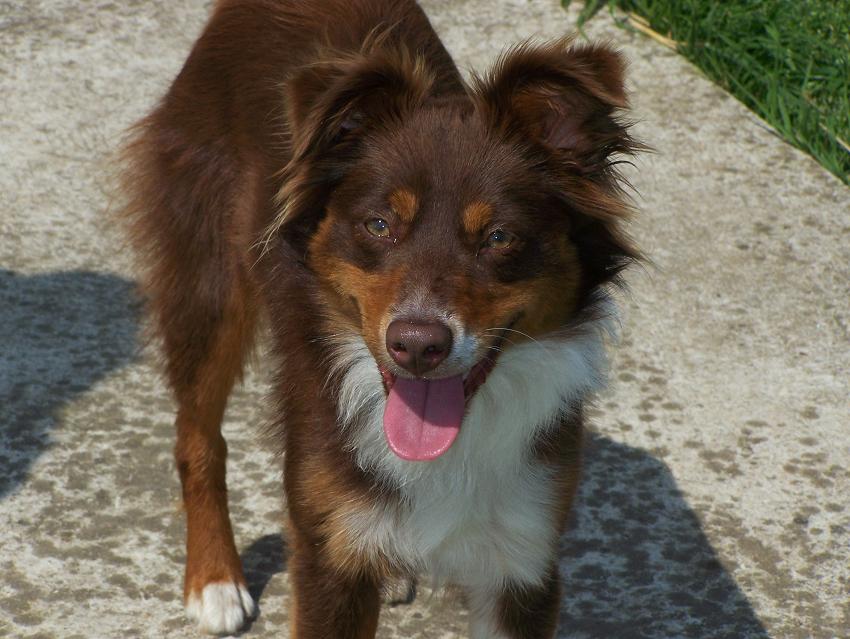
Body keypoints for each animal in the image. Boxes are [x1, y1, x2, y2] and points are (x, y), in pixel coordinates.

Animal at [121, 0, 640, 636]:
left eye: (499, 237)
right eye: (379, 225)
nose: (416, 345)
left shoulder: (525, 552)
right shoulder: (331, 554)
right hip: (208, 279)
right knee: (197, 434)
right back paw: (213, 579)